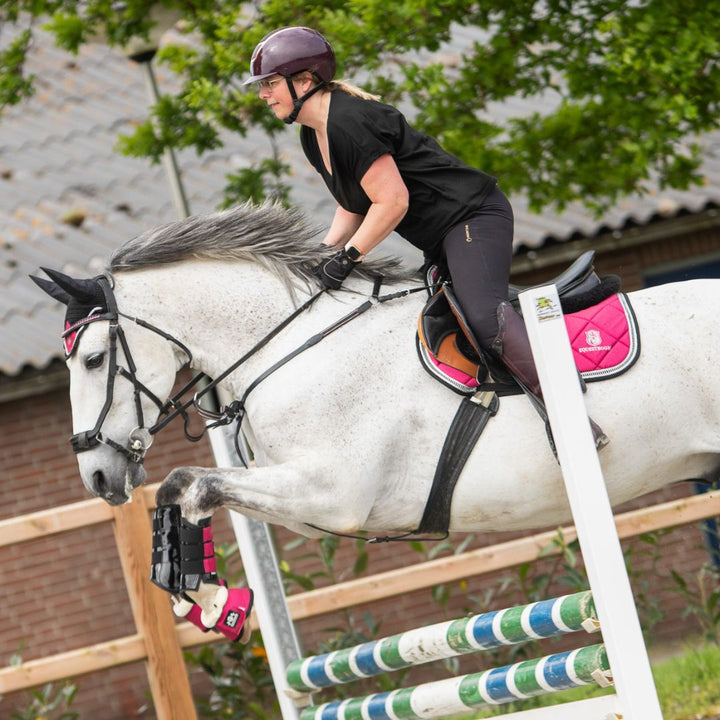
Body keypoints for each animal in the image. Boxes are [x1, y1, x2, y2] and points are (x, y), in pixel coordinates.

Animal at [31, 202, 720, 540]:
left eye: (93, 359)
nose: (97, 476)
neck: (296, 344)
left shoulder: (334, 492)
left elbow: (188, 482)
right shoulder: (306, 505)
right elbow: (193, 488)